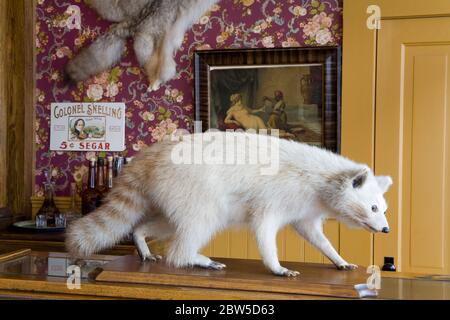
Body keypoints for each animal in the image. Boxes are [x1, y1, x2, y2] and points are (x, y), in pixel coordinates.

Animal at [65, 131, 392, 276]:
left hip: (175, 194)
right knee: (197, 227)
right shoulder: (277, 194)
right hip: (192, 186)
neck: (326, 180)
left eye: (382, 209)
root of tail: (152, 154)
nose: (387, 230)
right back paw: (190, 257)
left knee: (169, 223)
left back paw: (141, 236)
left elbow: (314, 234)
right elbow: (263, 228)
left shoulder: (305, 207)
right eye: (373, 208)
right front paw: (275, 264)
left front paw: (335, 255)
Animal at [66, 0, 219, 92]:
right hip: (161, 39)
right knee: (162, 68)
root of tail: (135, 22)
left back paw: (153, 85)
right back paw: (155, 84)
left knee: (152, 65)